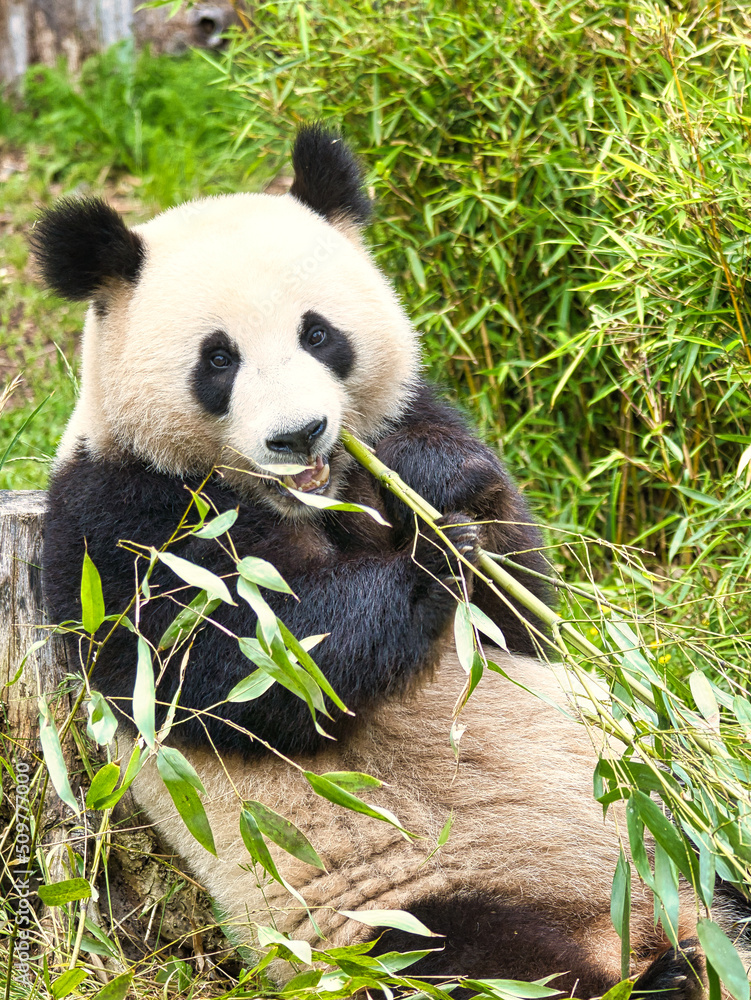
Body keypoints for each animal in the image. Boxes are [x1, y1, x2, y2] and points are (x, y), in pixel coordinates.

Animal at [31, 125, 743, 996]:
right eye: (218, 359)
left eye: (318, 333)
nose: (298, 434)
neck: (309, 500)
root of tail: (637, 924)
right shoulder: (120, 517)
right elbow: (243, 660)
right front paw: (430, 564)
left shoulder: (406, 423)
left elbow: (518, 613)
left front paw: (439, 490)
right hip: (401, 914)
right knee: (482, 963)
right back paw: (659, 976)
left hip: (678, 842)